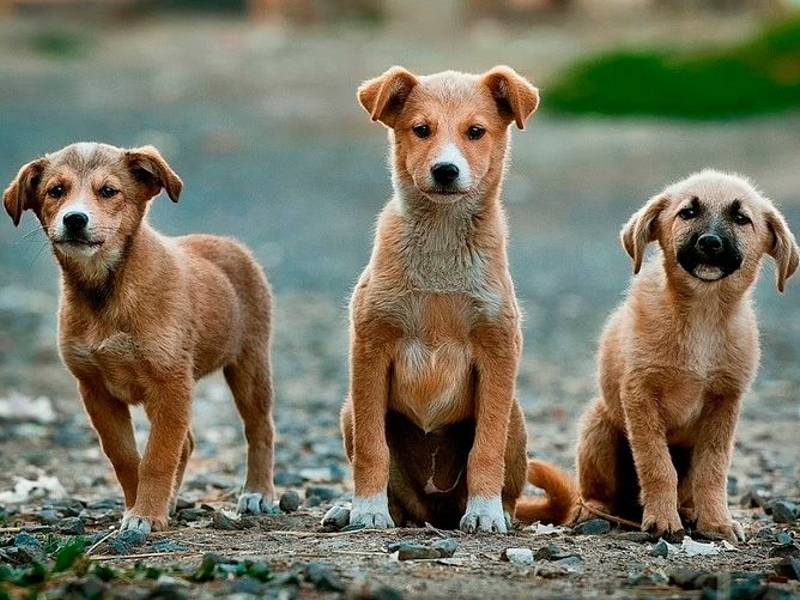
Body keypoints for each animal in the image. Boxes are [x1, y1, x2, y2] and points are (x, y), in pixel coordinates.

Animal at [4, 142, 276, 536]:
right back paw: (173, 501)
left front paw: (146, 513)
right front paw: (140, 508)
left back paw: (257, 493)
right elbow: (126, 457)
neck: (106, 291)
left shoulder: (170, 384)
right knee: (187, 443)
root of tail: (230, 244)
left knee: (260, 428)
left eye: (108, 191)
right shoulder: (95, 389)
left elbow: (158, 457)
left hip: (250, 364)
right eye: (56, 191)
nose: (75, 219)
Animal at [334, 67, 572, 536]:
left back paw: (498, 511)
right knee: (399, 499)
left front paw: (484, 512)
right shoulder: (369, 347)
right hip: (350, 410)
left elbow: (486, 448)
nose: (445, 170)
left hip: (516, 418)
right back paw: (348, 510)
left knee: (506, 482)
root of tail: (435, 510)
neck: (441, 244)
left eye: (475, 132)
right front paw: (366, 509)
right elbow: (372, 447)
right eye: (421, 130)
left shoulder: (498, 351)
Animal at [572, 171, 796, 540]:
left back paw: (690, 512)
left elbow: (713, 470)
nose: (710, 242)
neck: (703, 314)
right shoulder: (640, 394)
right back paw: (592, 511)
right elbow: (657, 464)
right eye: (687, 213)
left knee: (689, 487)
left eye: (741, 218)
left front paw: (716, 521)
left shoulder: (725, 401)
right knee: (597, 492)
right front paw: (662, 520)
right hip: (598, 426)